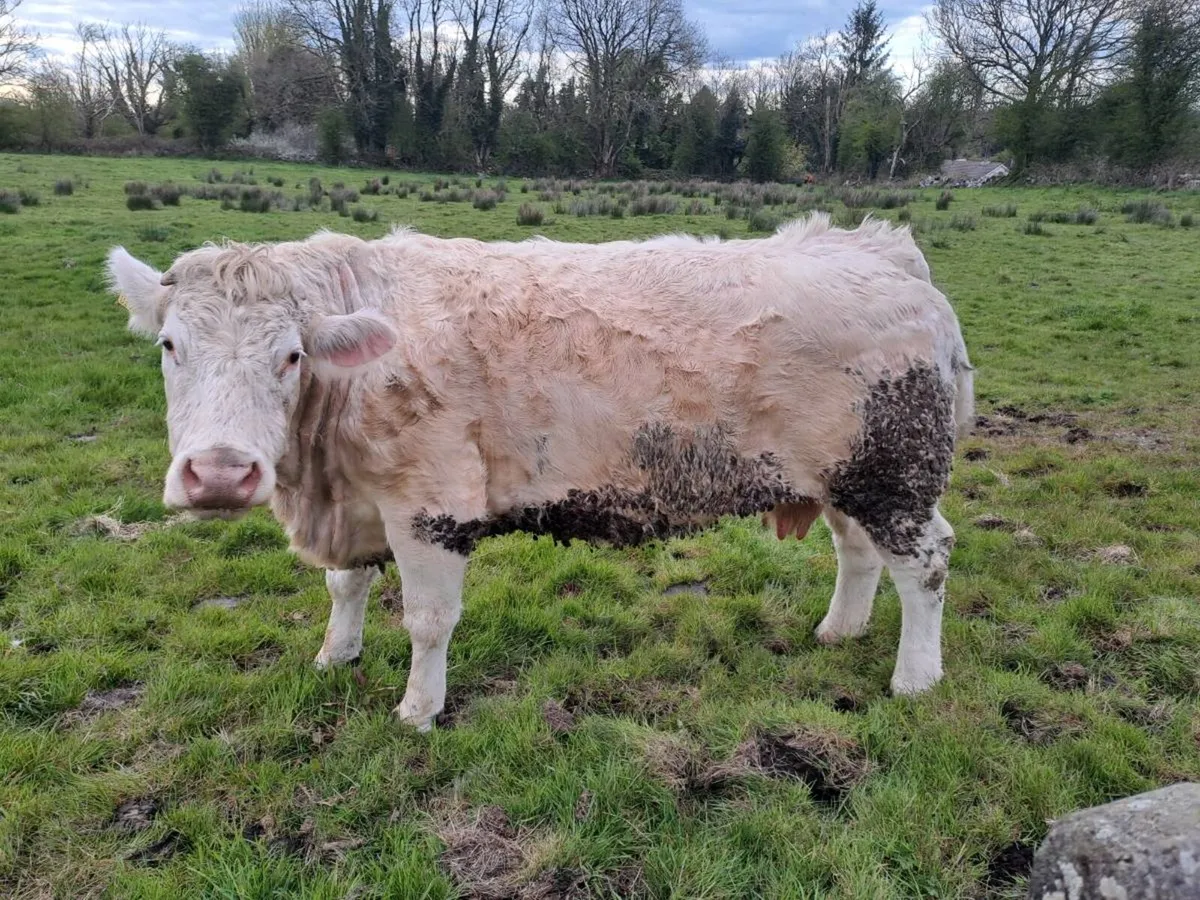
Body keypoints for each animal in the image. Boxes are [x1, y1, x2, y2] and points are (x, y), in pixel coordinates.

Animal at [105, 212, 974, 732]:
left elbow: (427, 620)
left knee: (926, 563)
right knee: (857, 553)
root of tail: (878, 246)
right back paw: (839, 629)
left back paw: (915, 678)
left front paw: (418, 709)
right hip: (842, 476)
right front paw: (335, 655)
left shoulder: (430, 503)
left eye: (290, 355)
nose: (220, 472)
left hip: (894, 473)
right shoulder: (355, 500)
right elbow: (344, 586)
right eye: (170, 346)